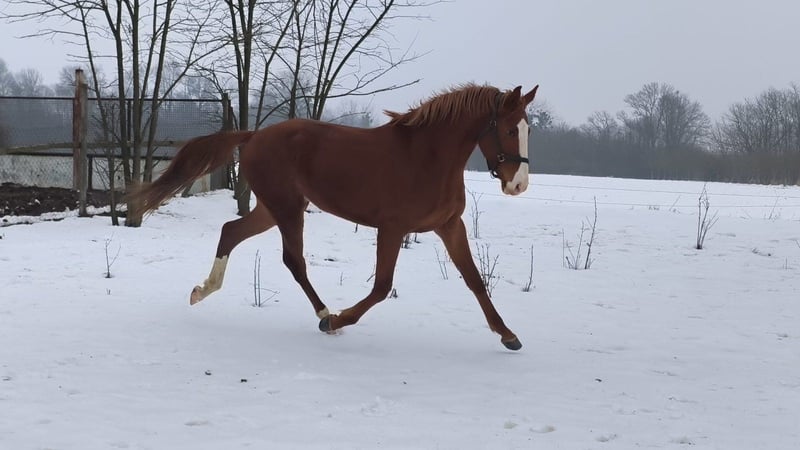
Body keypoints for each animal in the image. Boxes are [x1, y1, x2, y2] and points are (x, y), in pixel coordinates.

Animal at [129, 83, 539, 350]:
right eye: (507, 128)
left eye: (527, 129)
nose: (518, 184)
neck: (428, 158)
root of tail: (253, 136)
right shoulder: (392, 228)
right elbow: (381, 287)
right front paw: (338, 320)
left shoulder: (449, 226)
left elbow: (475, 279)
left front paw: (509, 335)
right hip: (287, 208)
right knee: (293, 260)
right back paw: (325, 314)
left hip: (271, 208)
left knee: (231, 231)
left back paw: (201, 291)